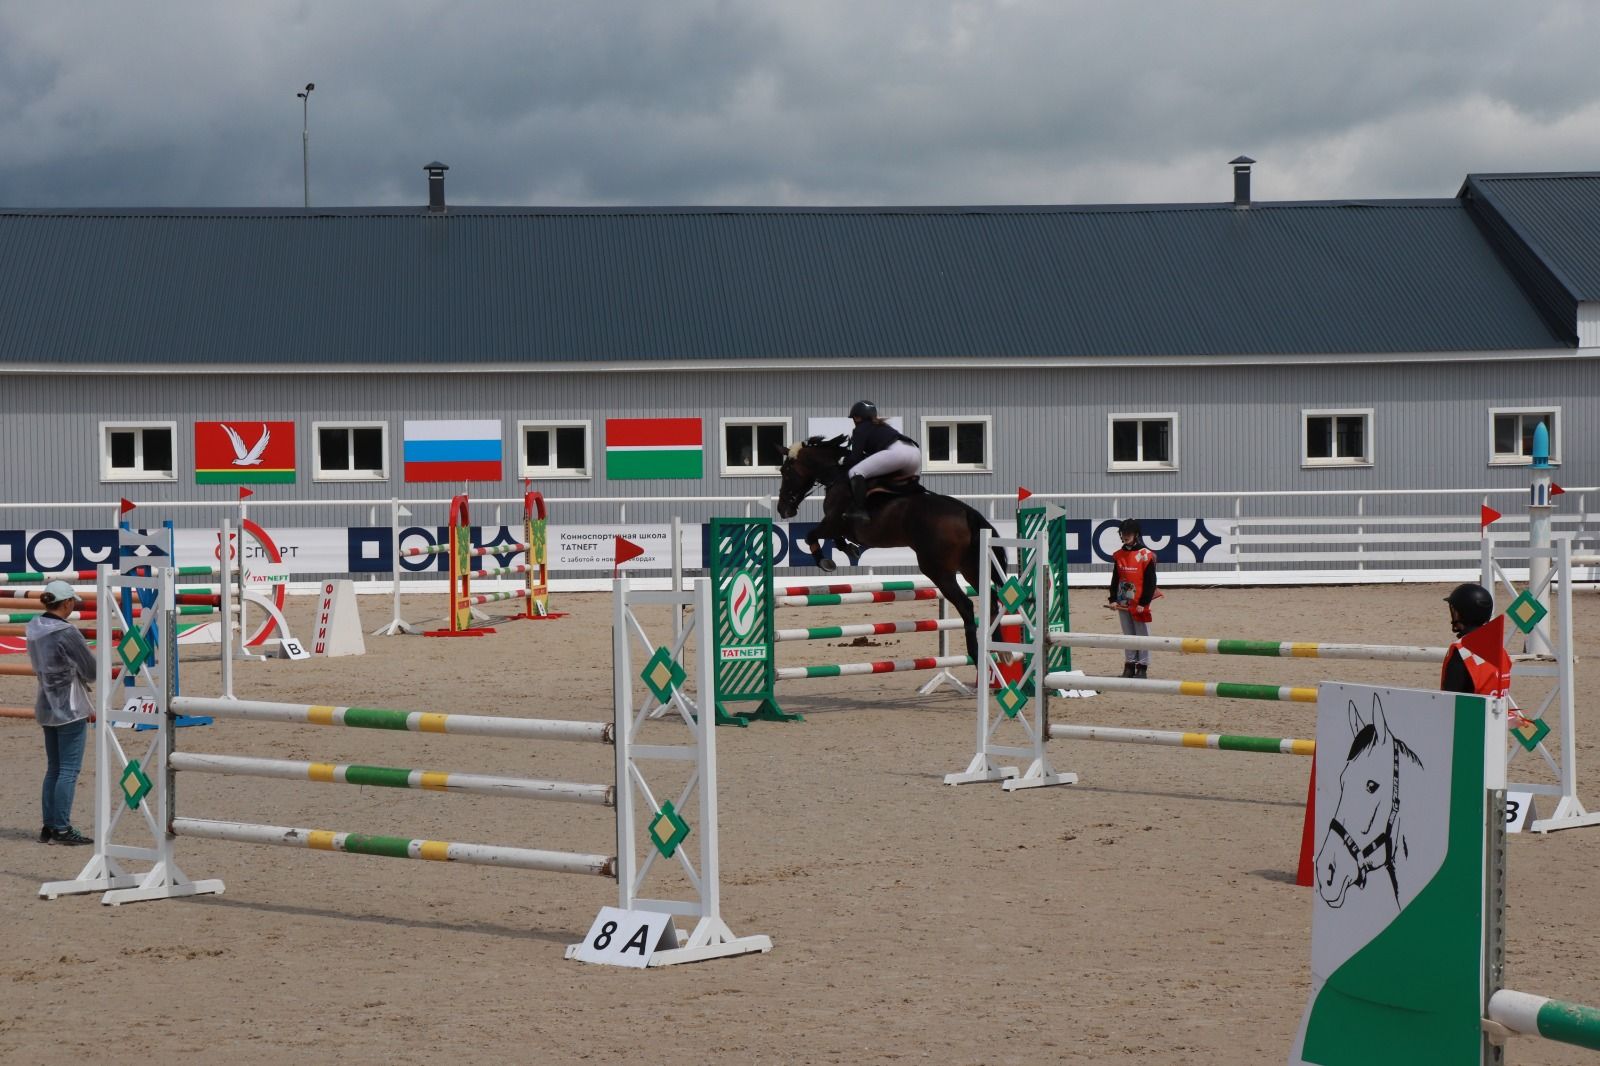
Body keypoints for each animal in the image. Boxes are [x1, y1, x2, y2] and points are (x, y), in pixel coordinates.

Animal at [774, 435, 998, 665]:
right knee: (991, 601)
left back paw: (977, 654)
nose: (783, 509)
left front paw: (825, 562)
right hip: (971, 567)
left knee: (966, 605)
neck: (837, 476)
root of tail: (966, 512)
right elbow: (835, 540)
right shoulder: (836, 527)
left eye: (785, 471)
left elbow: (811, 535)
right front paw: (850, 550)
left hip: (938, 570)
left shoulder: (833, 523)